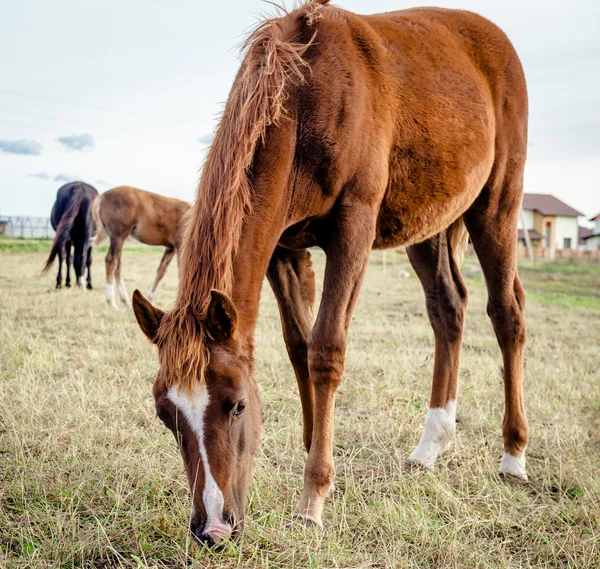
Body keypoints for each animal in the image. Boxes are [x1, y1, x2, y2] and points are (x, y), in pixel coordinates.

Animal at [132, 1, 528, 544]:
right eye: (164, 415)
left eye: (236, 404)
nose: (212, 528)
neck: (304, 95)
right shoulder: (281, 247)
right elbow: (298, 345)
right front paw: (309, 442)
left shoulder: (353, 227)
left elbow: (325, 351)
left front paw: (314, 495)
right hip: (426, 226)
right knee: (448, 310)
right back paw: (431, 443)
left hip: (496, 207)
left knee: (505, 314)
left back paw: (513, 456)